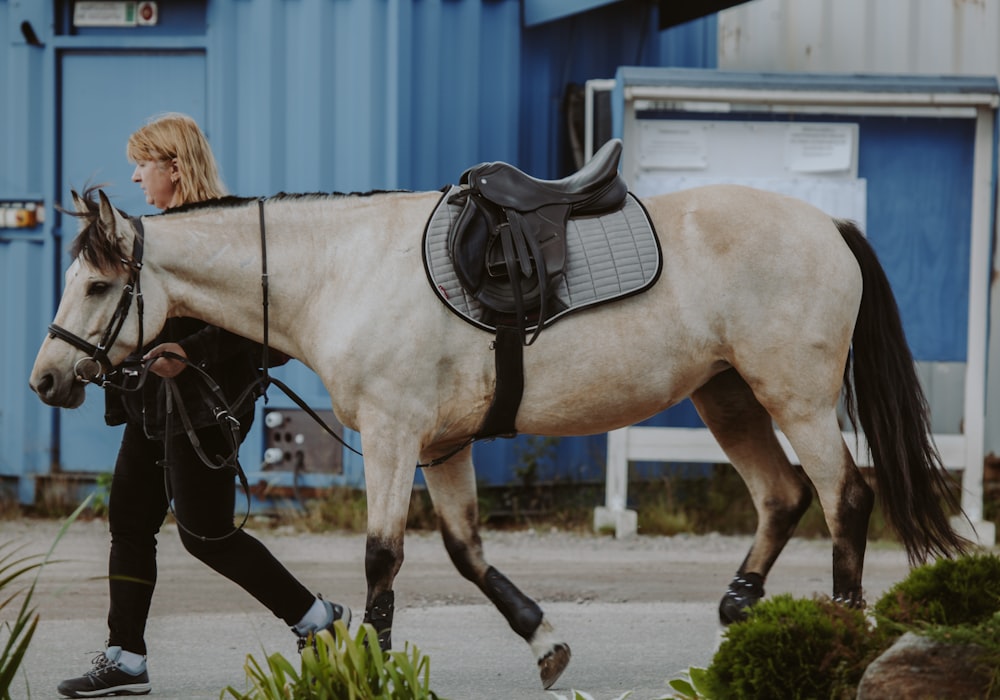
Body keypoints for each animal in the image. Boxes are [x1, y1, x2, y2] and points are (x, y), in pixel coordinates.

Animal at [33, 182, 968, 688]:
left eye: (94, 285)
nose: (46, 379)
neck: (341, 270)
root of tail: (827, 226)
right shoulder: (442, 447)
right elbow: (465, 551)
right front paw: (544, 640)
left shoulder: (395, 436)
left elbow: (383, 556)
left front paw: (371, 665)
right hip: (728, 397)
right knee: (782, 496)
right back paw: (740, 613)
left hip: (795, 399)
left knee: (846, 497)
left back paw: (839, 636)